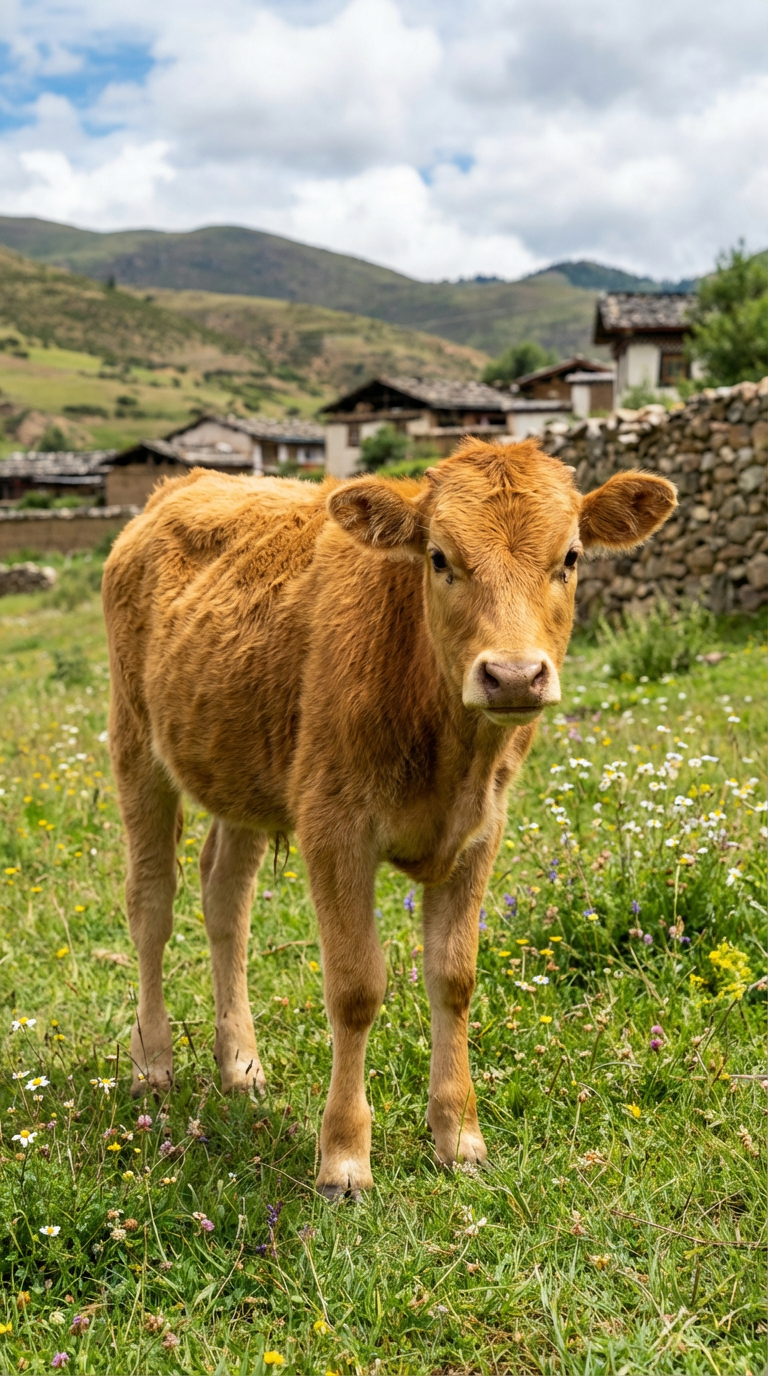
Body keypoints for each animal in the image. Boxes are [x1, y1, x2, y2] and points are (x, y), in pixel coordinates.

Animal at [102, 437, 676, 1198]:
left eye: (572, 556)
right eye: (439, 557)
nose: (514, 676)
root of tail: (183, 483)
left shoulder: (481, 834)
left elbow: (454, 978)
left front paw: (459, 1136)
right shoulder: (333, 827)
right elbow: (355, 988)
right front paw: (344, 1157)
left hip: (241, 772)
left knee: (226, 901)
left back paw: (240, 1065)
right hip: (136, 744)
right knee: (151, 905)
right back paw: (153, 1063)